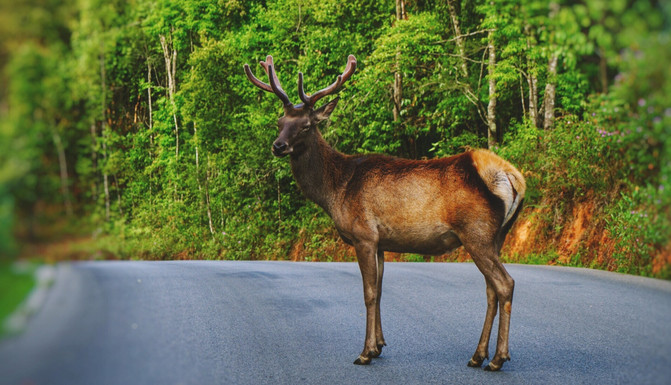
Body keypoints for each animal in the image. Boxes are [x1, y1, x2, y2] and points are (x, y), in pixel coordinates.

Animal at [244, 53, 528, 368]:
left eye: (306, 125)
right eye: (279, 121)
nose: (278, 145)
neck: (335, 190)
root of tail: (513, 176)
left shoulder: (364, 234)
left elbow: (368, 293)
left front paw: (365, 352)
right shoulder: (381, 242)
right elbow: (379, 292)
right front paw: (379, 345)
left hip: (476, 231)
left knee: (505, 283)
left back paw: (498, 358)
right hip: (498, 235)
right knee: (491, 289)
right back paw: (478, 355)